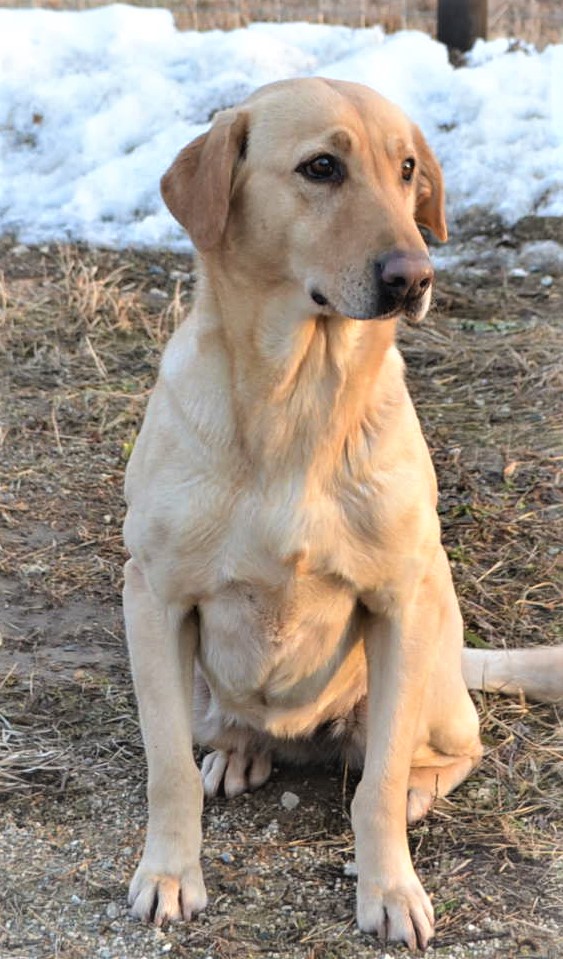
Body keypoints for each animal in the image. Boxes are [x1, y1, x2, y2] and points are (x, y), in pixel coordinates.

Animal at [124, 79, 563, 948]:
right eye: (320, 167)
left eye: (406, 169)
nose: (414, 275)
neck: (297, 398)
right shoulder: (151, 598)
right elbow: (167, 770)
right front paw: (169, 872)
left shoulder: (398, 603)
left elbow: (378, 782)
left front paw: (389, 885)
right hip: (199, 682)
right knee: (222, 730)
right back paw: (237, 750)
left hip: (432, 668)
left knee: (454, 747)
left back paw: (418, 789)